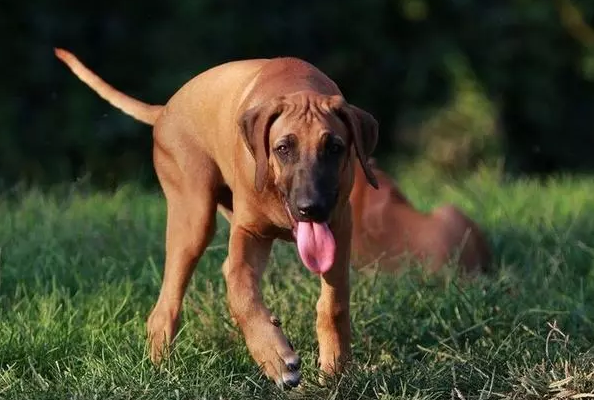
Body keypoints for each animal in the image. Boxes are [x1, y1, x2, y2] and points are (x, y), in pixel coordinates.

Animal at [56, 47, 380, 388]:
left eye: (334, 148)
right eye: (283, 148)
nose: (311, 207)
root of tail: (163, 110)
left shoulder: (339, 226)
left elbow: (333, 302)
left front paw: (335, 368)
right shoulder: (249, 231)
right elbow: (238, 287)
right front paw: (275, 357)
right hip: (193, 219)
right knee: (166, 307)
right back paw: (162, 372)